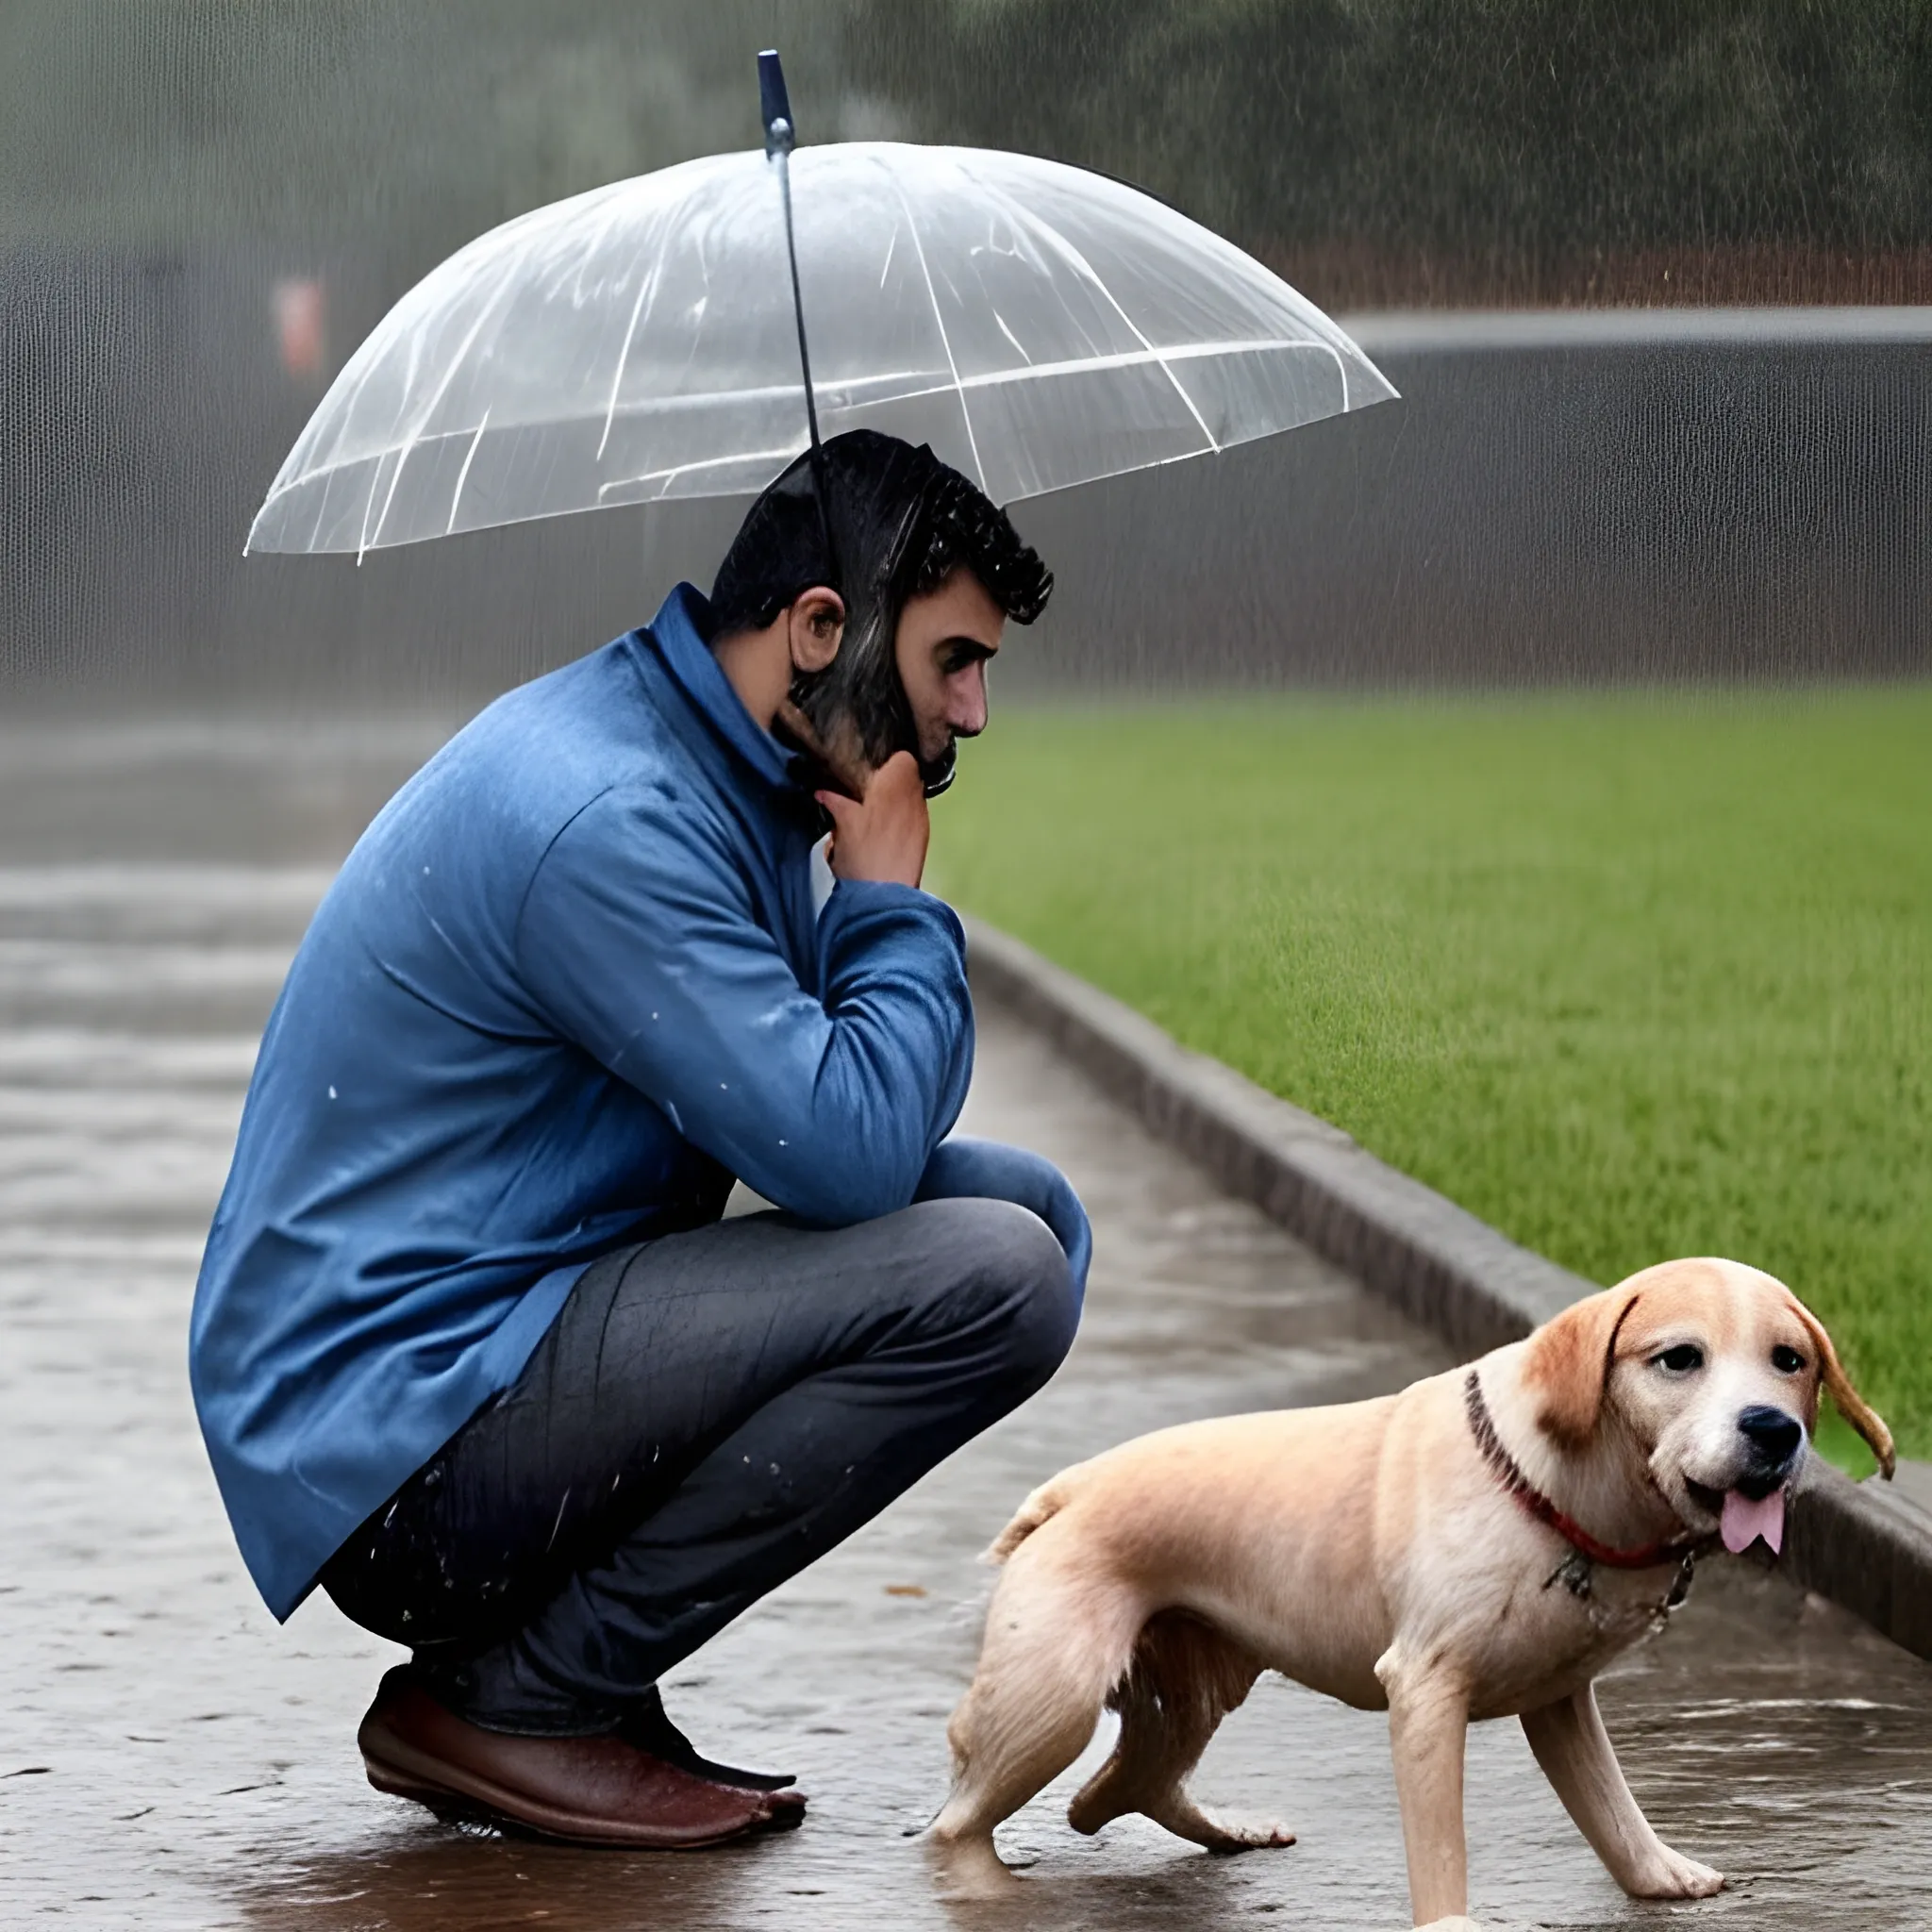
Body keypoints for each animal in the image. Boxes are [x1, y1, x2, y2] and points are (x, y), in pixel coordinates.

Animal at [927, 1259, 1893, 1924]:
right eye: (1679, 1359)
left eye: (1791, 1360)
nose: (1772, 1430)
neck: (1555, 1489)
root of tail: (1071, 1490)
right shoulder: (1426, 1690)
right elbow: (1440, 1841)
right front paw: (1452, 1923)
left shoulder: (1561, 1700)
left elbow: (1610, 1804)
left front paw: (1656, 1874)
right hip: (1052, 1695)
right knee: (963, 1818)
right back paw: (979, 1884)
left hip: (1197, 1680)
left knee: (1126, 1784)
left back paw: (1222, 1828)